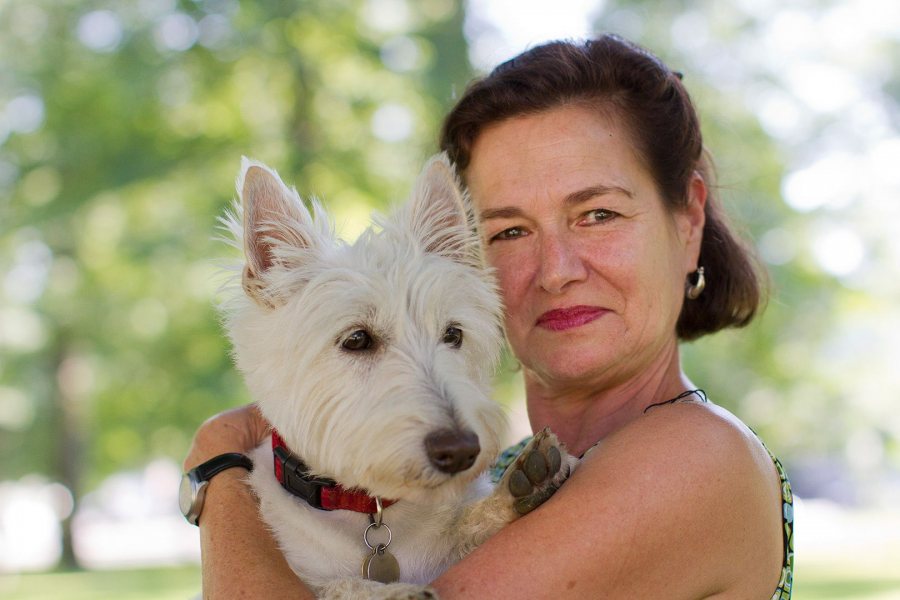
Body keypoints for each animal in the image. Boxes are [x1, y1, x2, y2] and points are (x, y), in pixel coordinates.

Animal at [221, 156, 572, 600]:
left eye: (453, 334)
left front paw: (519, 486)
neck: (373, 512)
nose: (460, 450)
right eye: (357, 339)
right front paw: (390, 592)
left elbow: (461, 529)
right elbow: (339, 586)